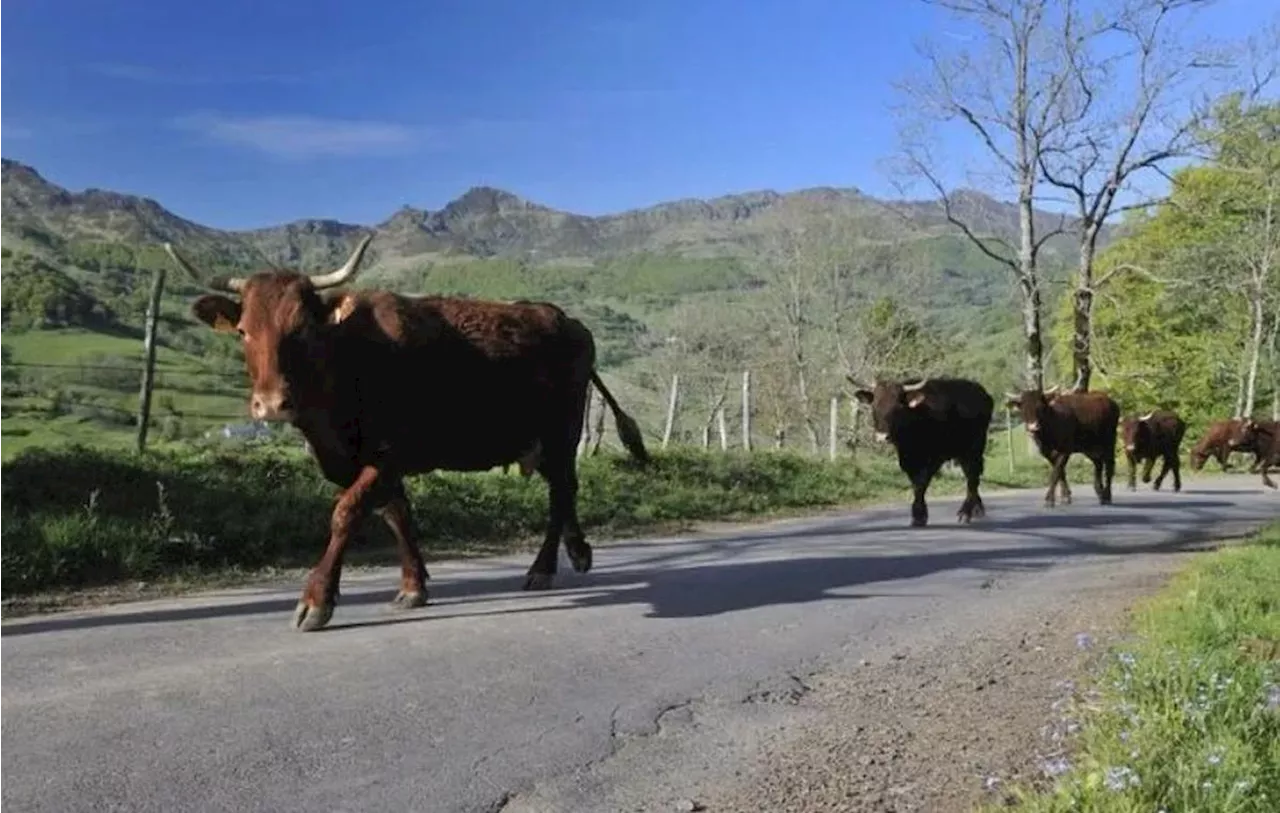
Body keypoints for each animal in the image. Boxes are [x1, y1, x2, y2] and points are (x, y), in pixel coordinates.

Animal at [163, 231, 650, 632]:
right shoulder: (368, 461)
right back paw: (578, 550)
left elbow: (346, 512)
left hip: (561, 432)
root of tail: (564, 319)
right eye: (244, 331)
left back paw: (543, 567)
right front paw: (414, 585)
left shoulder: (388, 453)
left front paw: (317, 600)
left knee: (561, 492)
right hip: (538, 441)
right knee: (564, 489)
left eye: (301, 330)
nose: (270, 404)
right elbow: (396, 515)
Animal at [855, 378, 993, 530]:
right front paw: (918, 515)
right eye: (874, 407)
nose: (882, 437)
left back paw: (966, 512)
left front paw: (919, 516)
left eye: (897, 408)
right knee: (973, 476)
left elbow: (921, 483)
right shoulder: (907, 460)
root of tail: (981, 391)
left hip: (974, 448)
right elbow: (915, 483)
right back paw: (977, 509)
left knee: (972, 477)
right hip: (963, 453)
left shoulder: (934, 458)